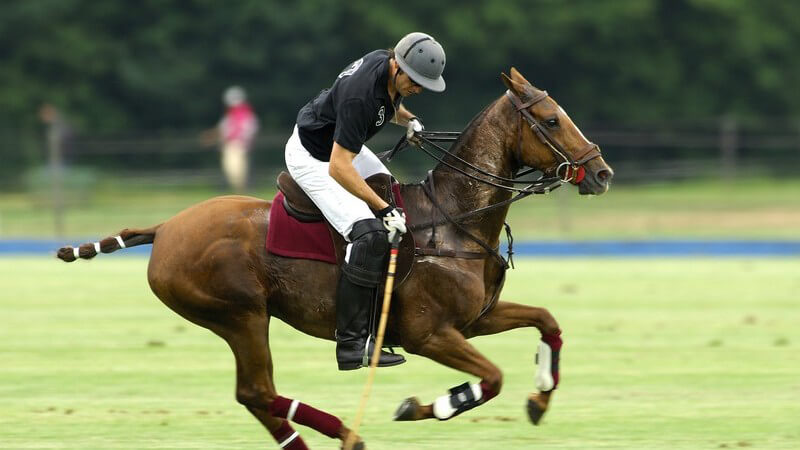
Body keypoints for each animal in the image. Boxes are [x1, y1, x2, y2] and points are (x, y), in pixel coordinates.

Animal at [57, 68, 612, 448]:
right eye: (550, 119)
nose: (602, 173)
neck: (454, 219)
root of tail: (165, 227)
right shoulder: (430, 333)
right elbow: (491, 378)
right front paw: (420, 406)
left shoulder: (475, 319)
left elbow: (547, 319)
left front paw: (540, 397)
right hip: (241, 314)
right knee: (256, 392)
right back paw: (344, 431)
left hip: (239, 318)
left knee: (255, 394)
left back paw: (343, 434)